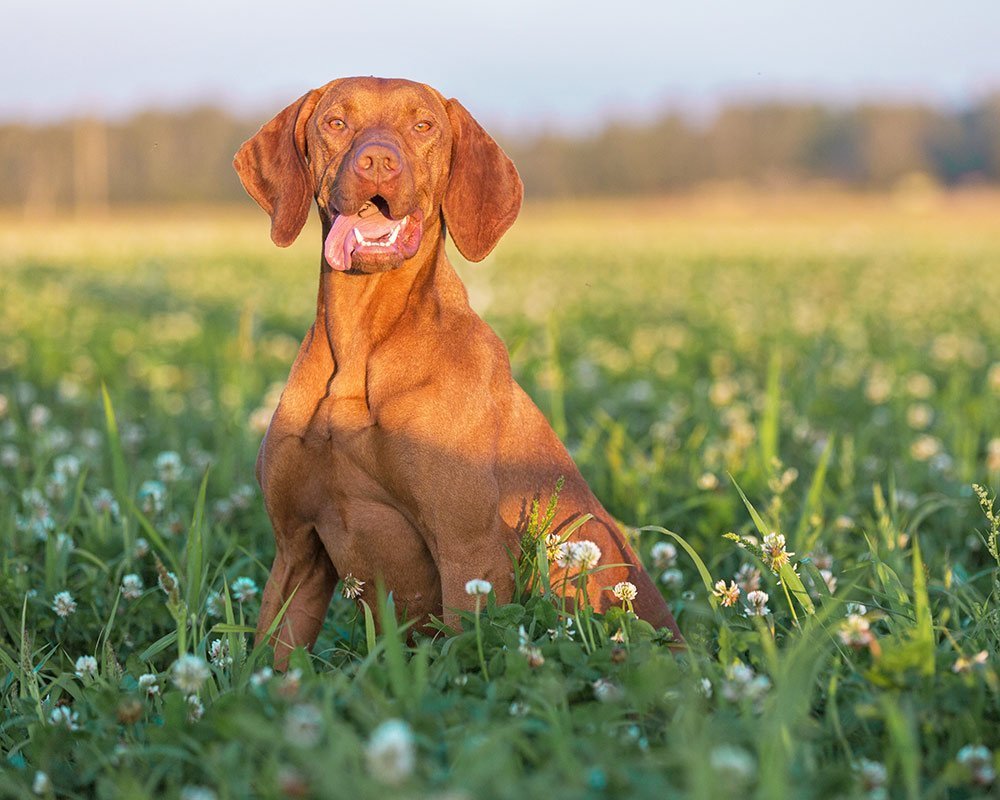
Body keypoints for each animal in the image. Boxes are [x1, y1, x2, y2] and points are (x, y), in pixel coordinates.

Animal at [234, 76, 680, 664]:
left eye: (423, 125)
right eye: (336, 122)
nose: (378, 162)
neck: (360, 347)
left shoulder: (468, 553)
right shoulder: (296, 552)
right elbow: (264, 666)